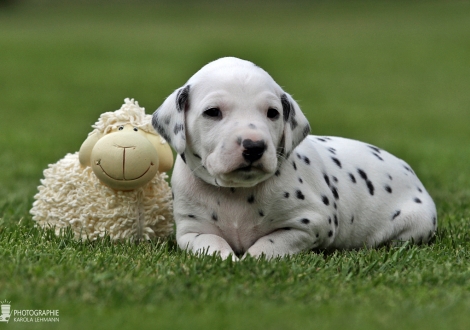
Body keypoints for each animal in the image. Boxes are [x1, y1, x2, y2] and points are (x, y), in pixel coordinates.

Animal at [153, 57, 436, 260]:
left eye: (272, 113)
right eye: (212, 112)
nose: (254, 146)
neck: (236, 192)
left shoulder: (310, 224)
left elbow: (269, 245)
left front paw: (248, 261)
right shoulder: (191, 231)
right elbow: (211, 245)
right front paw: (227, 260)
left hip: (416, 223)